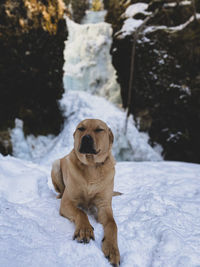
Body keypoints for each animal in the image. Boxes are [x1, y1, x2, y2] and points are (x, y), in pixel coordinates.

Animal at [51, 120, 120, 267]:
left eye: (99, 130)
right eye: (81, 128)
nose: (86, 138)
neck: (92, 167)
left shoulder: (104, 205)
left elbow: (112, 224)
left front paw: (112, 249)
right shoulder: (67, 202)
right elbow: (80, 212)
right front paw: (84, 230)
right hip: (55, 165)